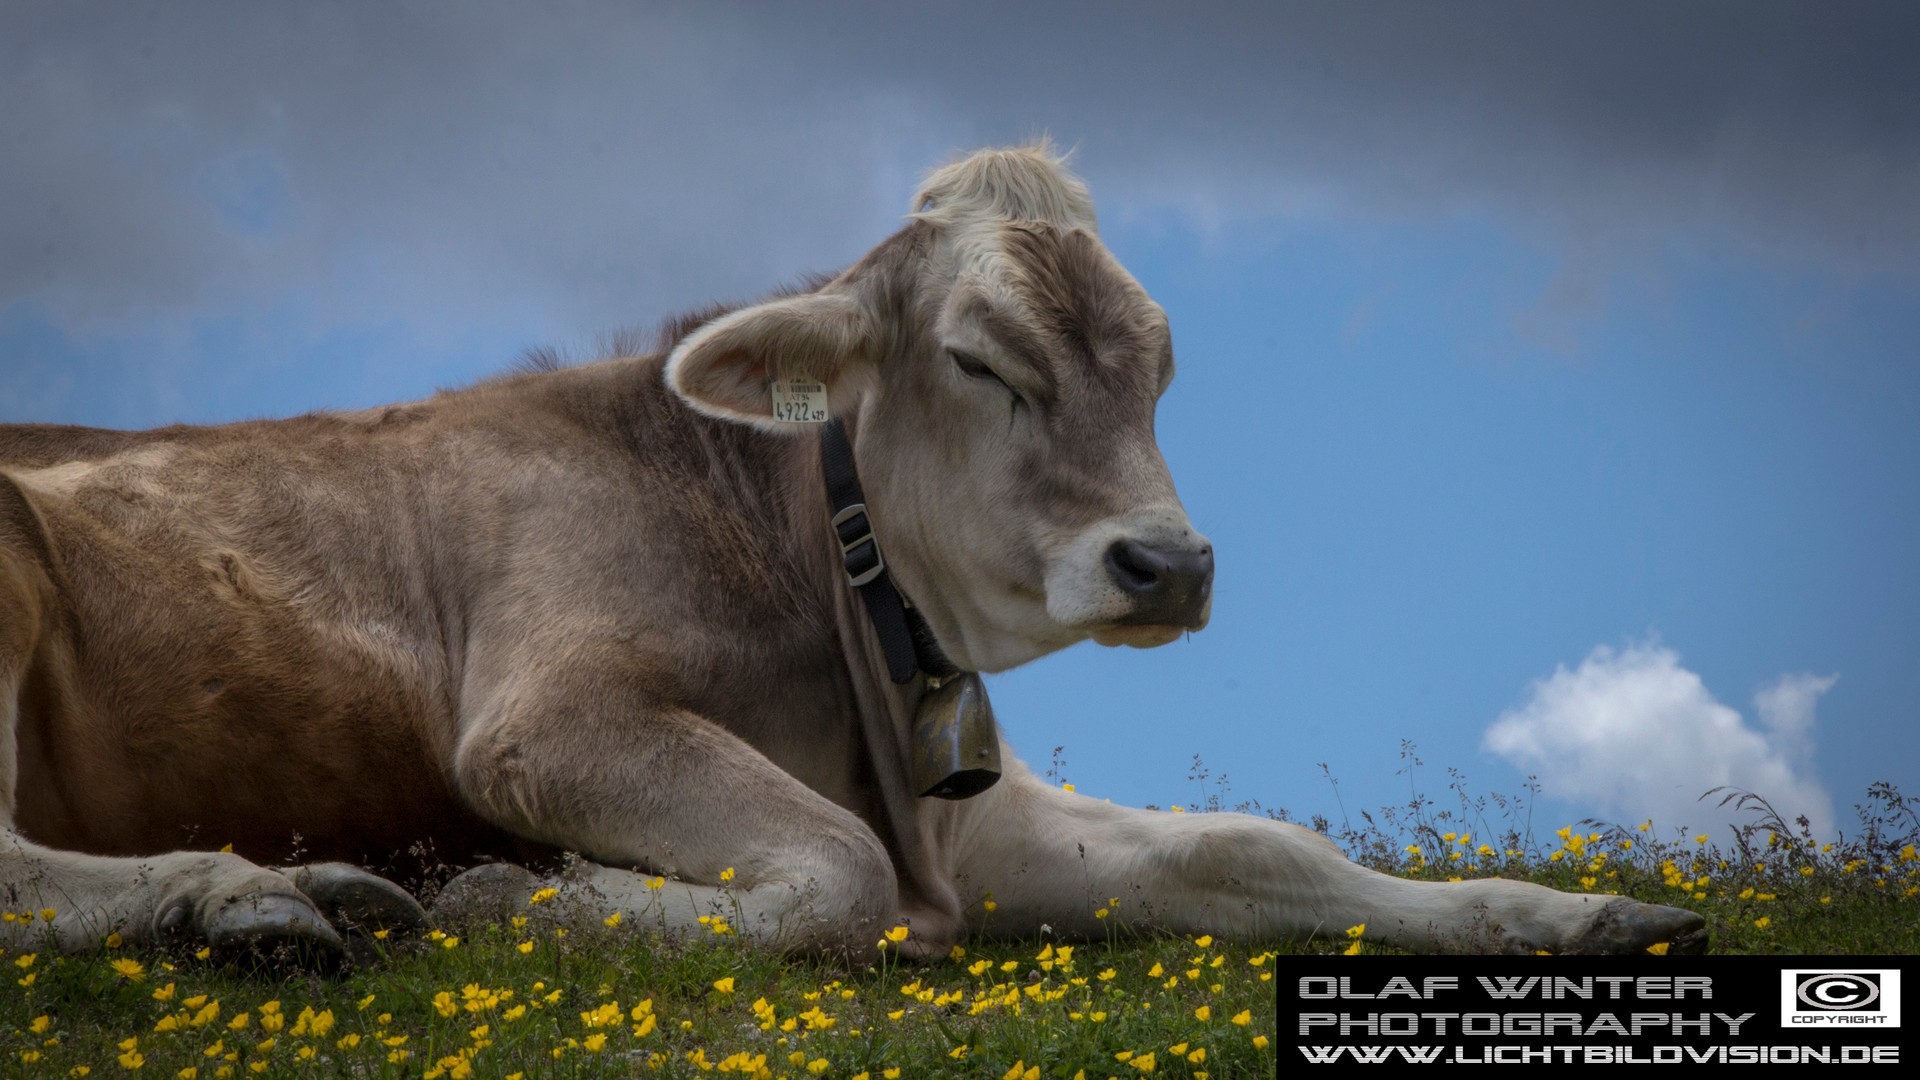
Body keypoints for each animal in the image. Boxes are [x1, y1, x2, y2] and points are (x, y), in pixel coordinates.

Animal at [0, 145, 1712, 957]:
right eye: (981, 360)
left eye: (1159, 361)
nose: (1169, 566)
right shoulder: (545, 721)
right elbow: (830, 875)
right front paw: (517, 901)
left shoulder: (961, 812)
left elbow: (1251, 849)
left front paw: (1569, 914)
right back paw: (256, 899)